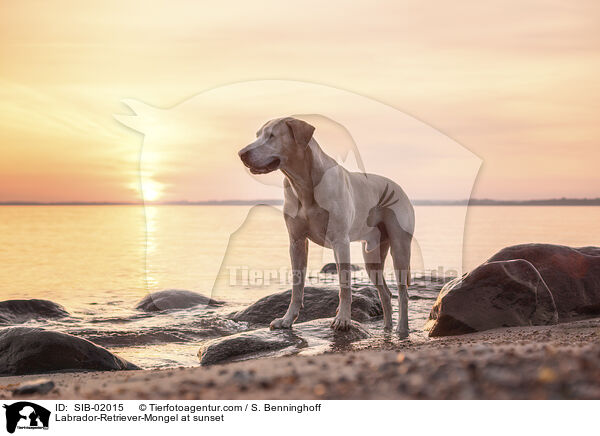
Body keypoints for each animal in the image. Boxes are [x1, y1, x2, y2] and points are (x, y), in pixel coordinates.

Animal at [237, 116, 414, 338]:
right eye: (258, 135)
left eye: (272, 136)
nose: (241, 153)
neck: (303, 184)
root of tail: (399, 186)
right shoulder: (296, 241)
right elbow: (297, 285)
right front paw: (287, 320)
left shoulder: (340, 241)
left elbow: (345, 285)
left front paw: (343, 319)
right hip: (372, 255)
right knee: (386, 293)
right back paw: (387, 328)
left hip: (400, 247)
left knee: (403, 291)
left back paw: (402, 329)